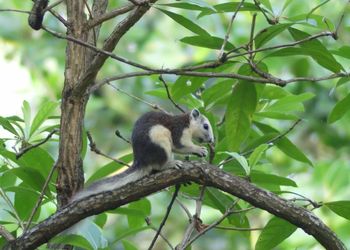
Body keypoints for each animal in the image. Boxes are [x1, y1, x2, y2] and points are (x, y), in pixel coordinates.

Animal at [73, 109, 213, 201]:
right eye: (206, 126)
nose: (211, 140)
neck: (187, 123)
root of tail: (141, 161)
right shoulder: (179, 131)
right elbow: (181, 146)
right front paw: (199, 150)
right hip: (159, 140)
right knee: (160, 165)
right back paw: (171, 163)